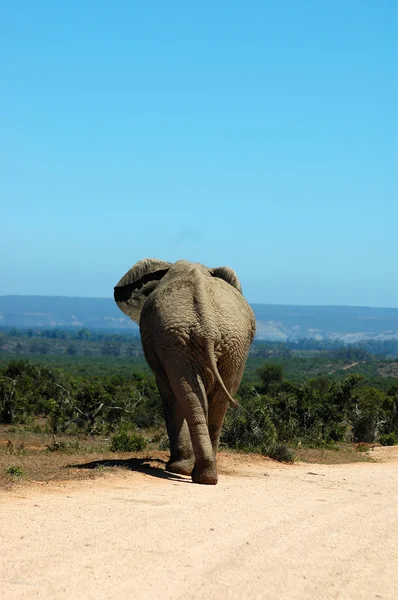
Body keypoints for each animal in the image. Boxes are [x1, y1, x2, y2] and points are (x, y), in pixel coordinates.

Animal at [112, 258, 255, 482]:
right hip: (227, 343)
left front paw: (175, 467)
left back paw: (186, 471)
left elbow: (168, 393)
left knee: (186, 395)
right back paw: (206, 476)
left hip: (189, 340)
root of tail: (208, 326)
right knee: (213, 399)